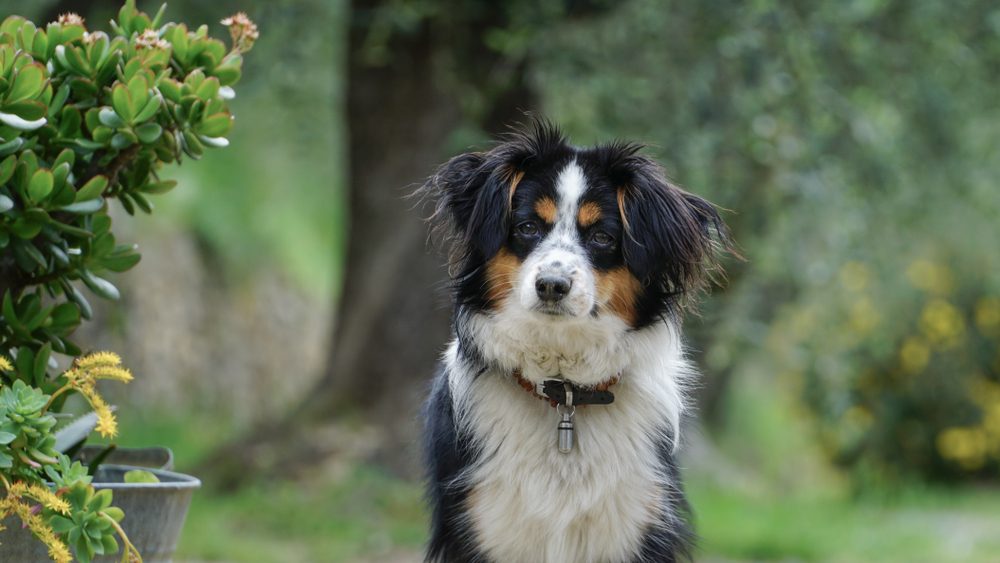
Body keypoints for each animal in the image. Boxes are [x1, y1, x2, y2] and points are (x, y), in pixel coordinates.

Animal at [418, 121, 732, 560]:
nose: (552, 285)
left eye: (601, 237)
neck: (564, 391)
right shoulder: (480, 524)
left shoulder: (638, 522)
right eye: (527, 227)